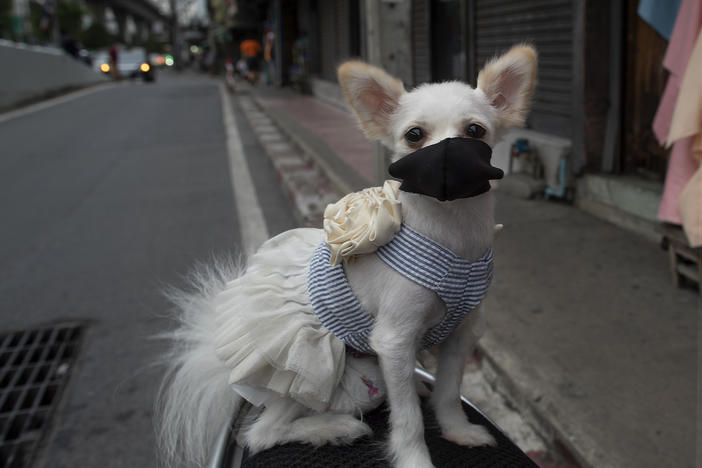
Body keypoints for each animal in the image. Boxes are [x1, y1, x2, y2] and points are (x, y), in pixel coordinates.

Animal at [157, 44, 536, 468]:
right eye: (414, 135)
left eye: (474, 132)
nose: (449, 161)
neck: (452, 237)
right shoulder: (394, 340)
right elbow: (408, 417)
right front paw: (414, 459)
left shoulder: (460, 333)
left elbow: (450, 392)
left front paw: (457, 430)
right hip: (311, 373)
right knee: (261, 433)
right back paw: (334, 428)